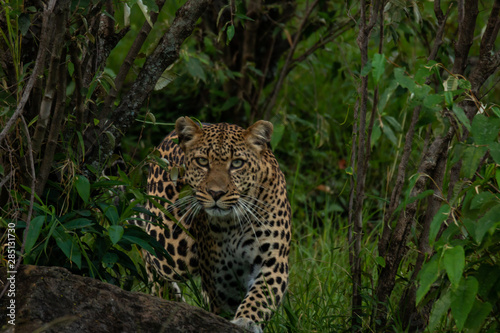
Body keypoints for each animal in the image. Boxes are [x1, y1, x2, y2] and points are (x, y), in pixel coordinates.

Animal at [141, 116, 292, 332]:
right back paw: (166, 296)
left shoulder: (272, 259)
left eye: (237, 163)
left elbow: (260, 295)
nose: (216, 193)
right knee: (144, 240)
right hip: (172, 250)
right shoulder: (220, 277)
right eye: (203, 161)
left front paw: (246, 320)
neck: (234, 220)